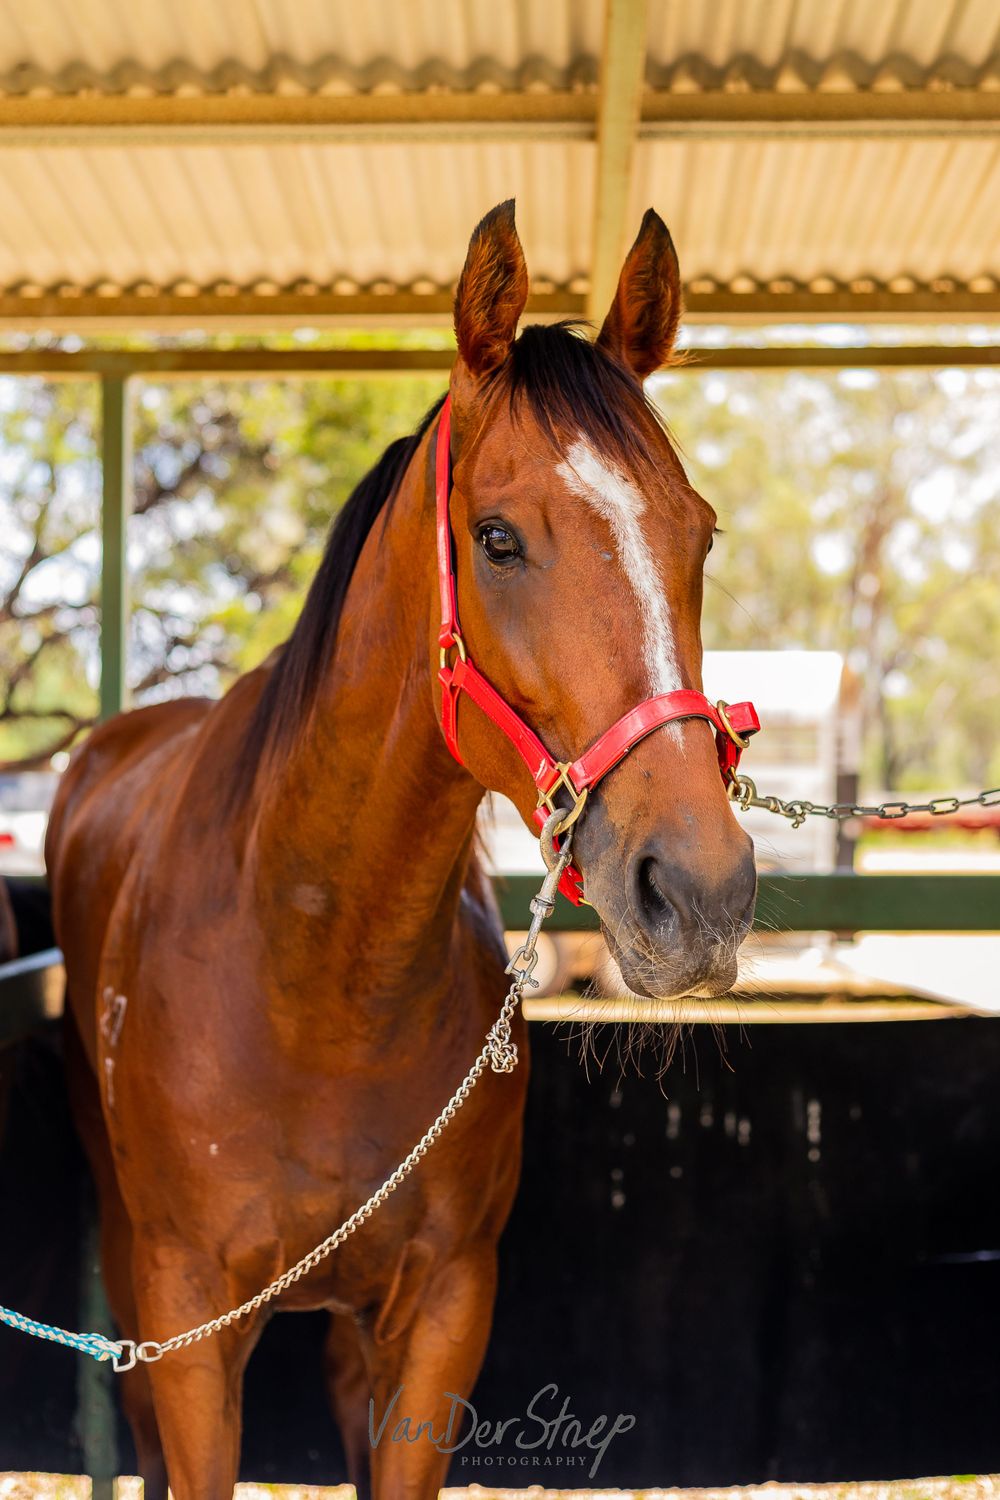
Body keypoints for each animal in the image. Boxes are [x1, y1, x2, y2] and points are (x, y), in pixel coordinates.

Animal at [45, 200, 757, 1500]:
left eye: (700, 535)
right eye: (497, 538)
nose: (699, 890)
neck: (316, 969)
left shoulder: (442, 1310)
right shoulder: (188, 1320)